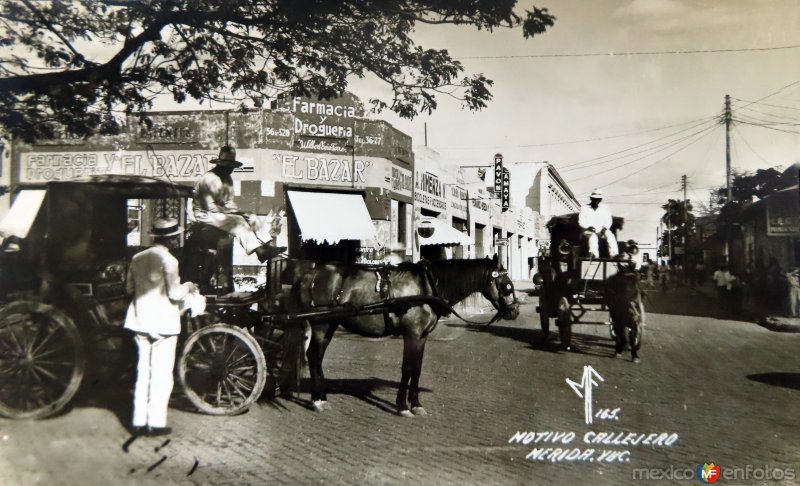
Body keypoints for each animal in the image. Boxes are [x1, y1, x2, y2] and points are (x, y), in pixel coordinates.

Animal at [284, 254, 520, 418]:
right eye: (507, 285)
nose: (514, 311)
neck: (427, 286)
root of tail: (309, 275)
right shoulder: (412, 333)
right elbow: (408, 367)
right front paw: (402, 406)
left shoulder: (422, 336)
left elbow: (417, 368)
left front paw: (416, 404)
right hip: (321, 324)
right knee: (314, 355)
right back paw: (316, 400)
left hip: (331, 324)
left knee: (317, 357)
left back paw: (322, 397)